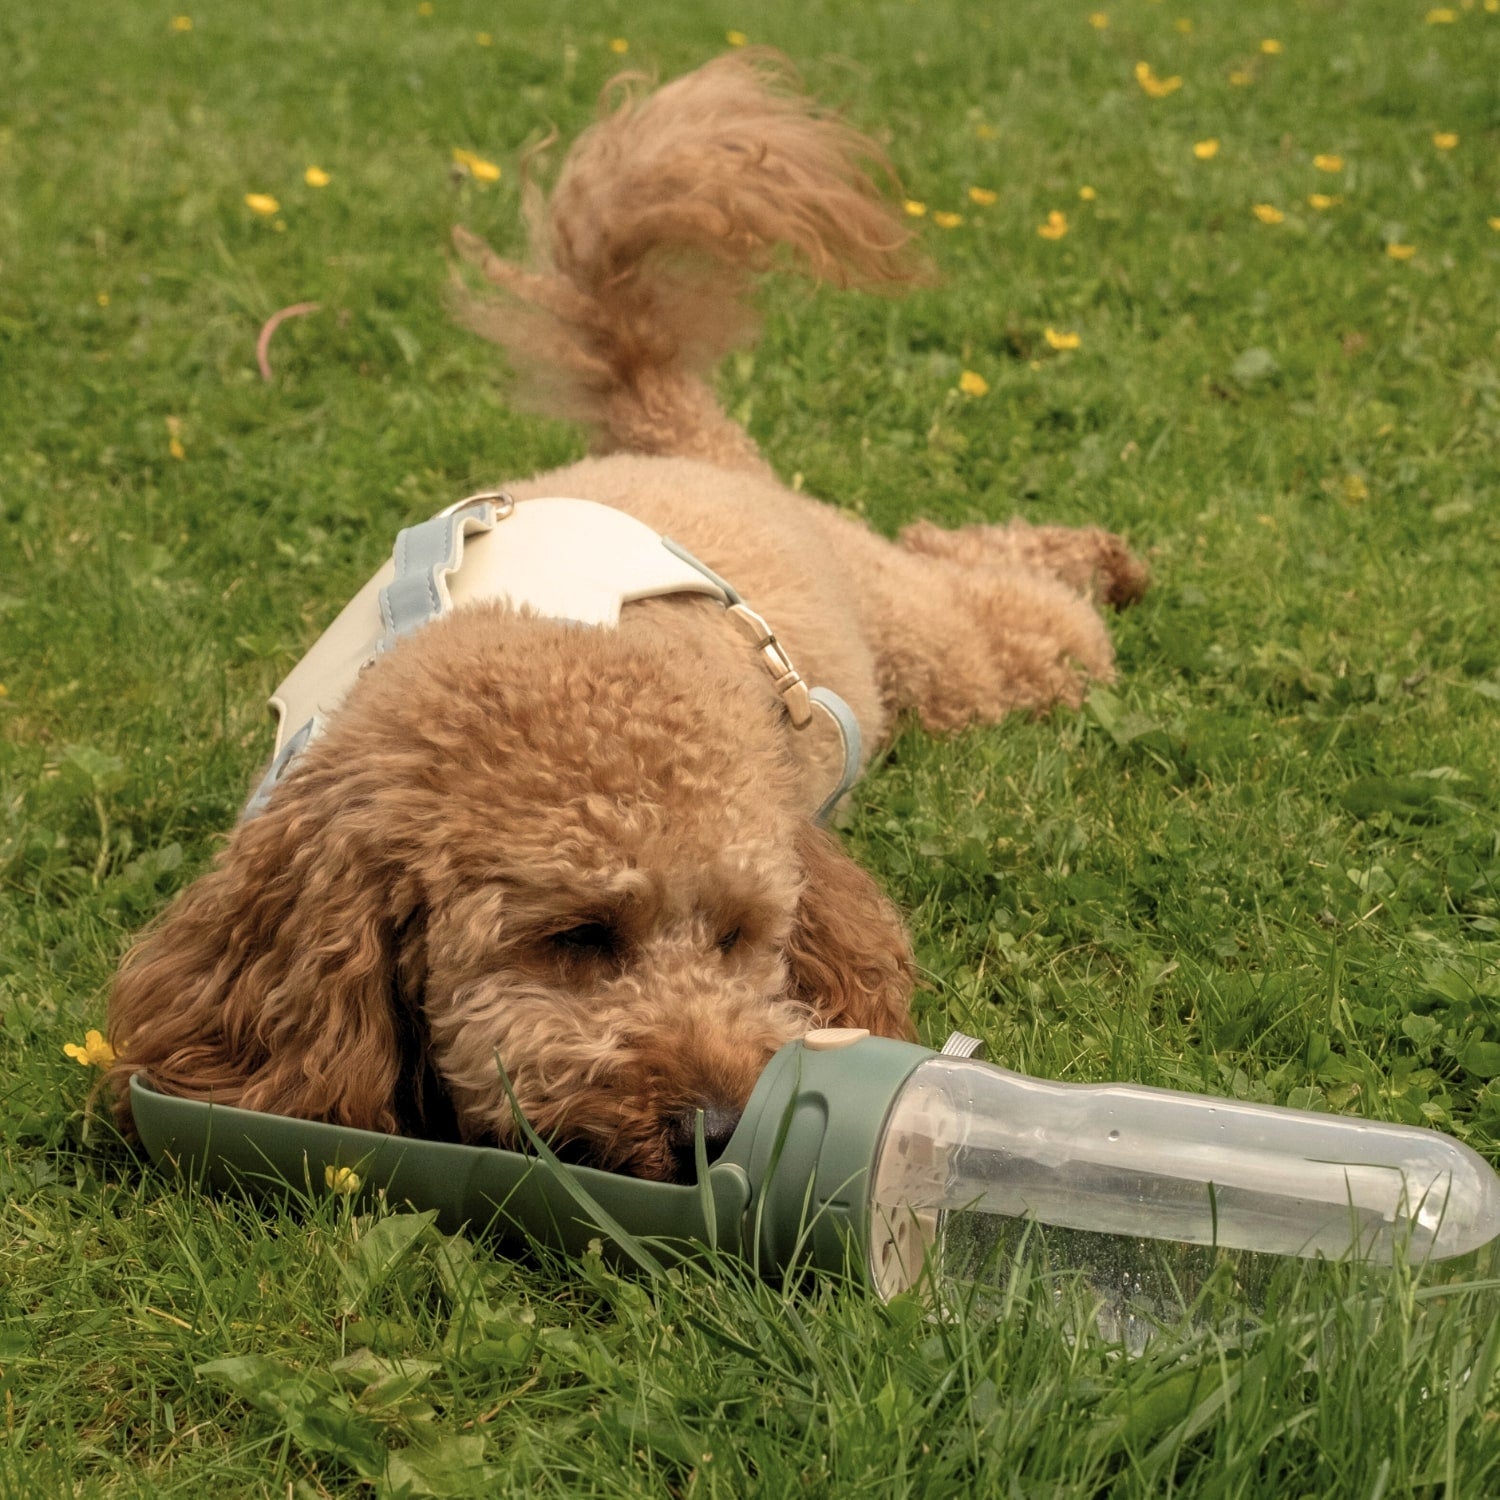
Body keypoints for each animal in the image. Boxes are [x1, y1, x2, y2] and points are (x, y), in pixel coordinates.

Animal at [105, 52, 1146, 1182]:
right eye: (577, 937)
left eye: (738, 937)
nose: (715, 1130)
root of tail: (679, 438)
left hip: (931, 641)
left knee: (1022, 618)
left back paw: (1103, 570)